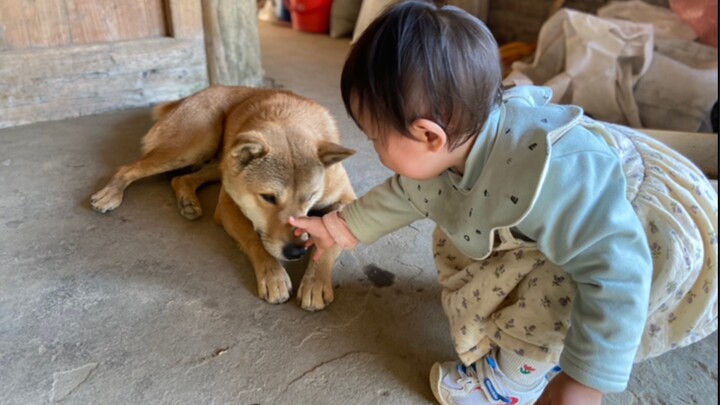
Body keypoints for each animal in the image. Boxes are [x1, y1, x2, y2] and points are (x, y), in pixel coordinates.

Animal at [91, 85, 356, 310]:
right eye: (268, 197)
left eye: (310, 196)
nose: (296, 252)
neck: (287, 119)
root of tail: (191, 96)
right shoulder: (228, 206)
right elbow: (254, 239)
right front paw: (274, 275)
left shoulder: (345, 200)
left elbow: (330, 237)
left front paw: (315, 282)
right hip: (197, 144)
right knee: (127, 168)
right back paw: (109, 195)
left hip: (221, 163)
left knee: (181, 179)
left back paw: (188, 202)